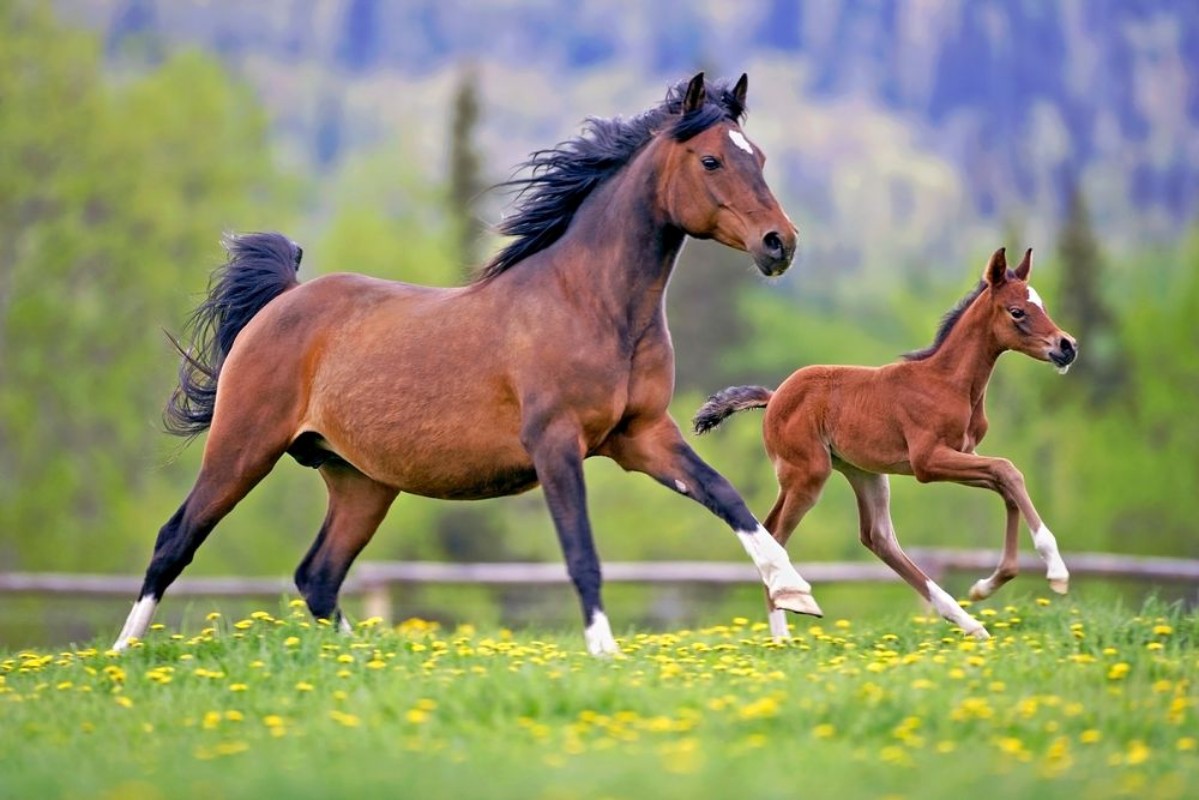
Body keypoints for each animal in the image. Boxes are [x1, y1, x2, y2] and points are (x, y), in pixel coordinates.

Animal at [112, 72, 823, 657]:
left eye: (758, 157)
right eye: (711, 159)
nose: (780, 244)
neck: (590, 304)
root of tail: (283, 300)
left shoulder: (642, 436)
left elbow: (727, 497)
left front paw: (795, 593)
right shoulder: (556, 443)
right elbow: (581, 551)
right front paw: (605, 652)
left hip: (360, 481)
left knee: (318, 575)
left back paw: (368, 657)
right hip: (244, 446)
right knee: (176, 540)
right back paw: (122, 654)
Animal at [692, 247, 1078, 641]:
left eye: (1042, 305)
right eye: (1017, 311)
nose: (1067, 346)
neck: (948, 383)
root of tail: (773, 397)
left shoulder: (962, 454)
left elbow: (1005, 485)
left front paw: (987, 585)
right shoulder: (928, 461)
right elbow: (1008, 470)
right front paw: (1056, 572)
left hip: (864, 472)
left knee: (877, 537)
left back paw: (968, 622)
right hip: (807, 474)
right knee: (776, 534)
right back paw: (784, 629)